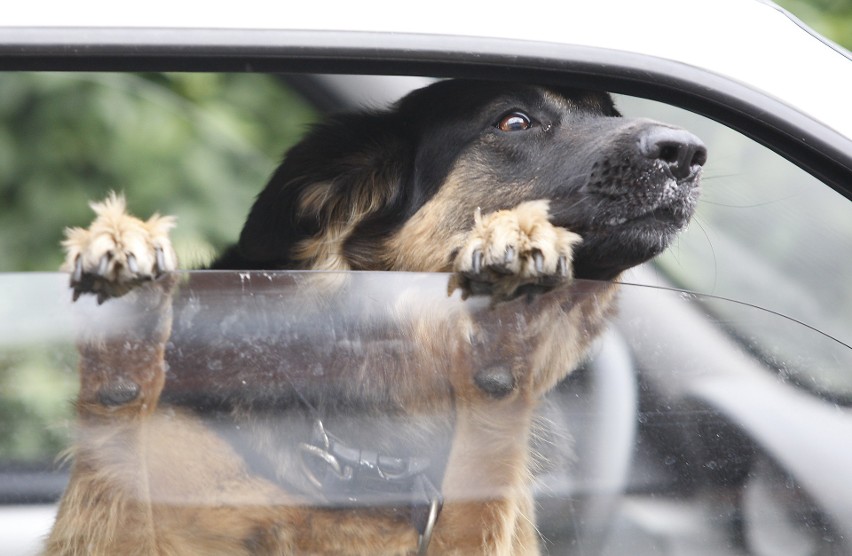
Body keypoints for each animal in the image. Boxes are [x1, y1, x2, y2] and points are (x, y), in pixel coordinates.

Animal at [50, 79, 708, 556]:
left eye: (610, 112)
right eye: (514, 121)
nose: (688, 152)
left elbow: (489, 454)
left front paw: (508, 337)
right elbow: (116, 469)